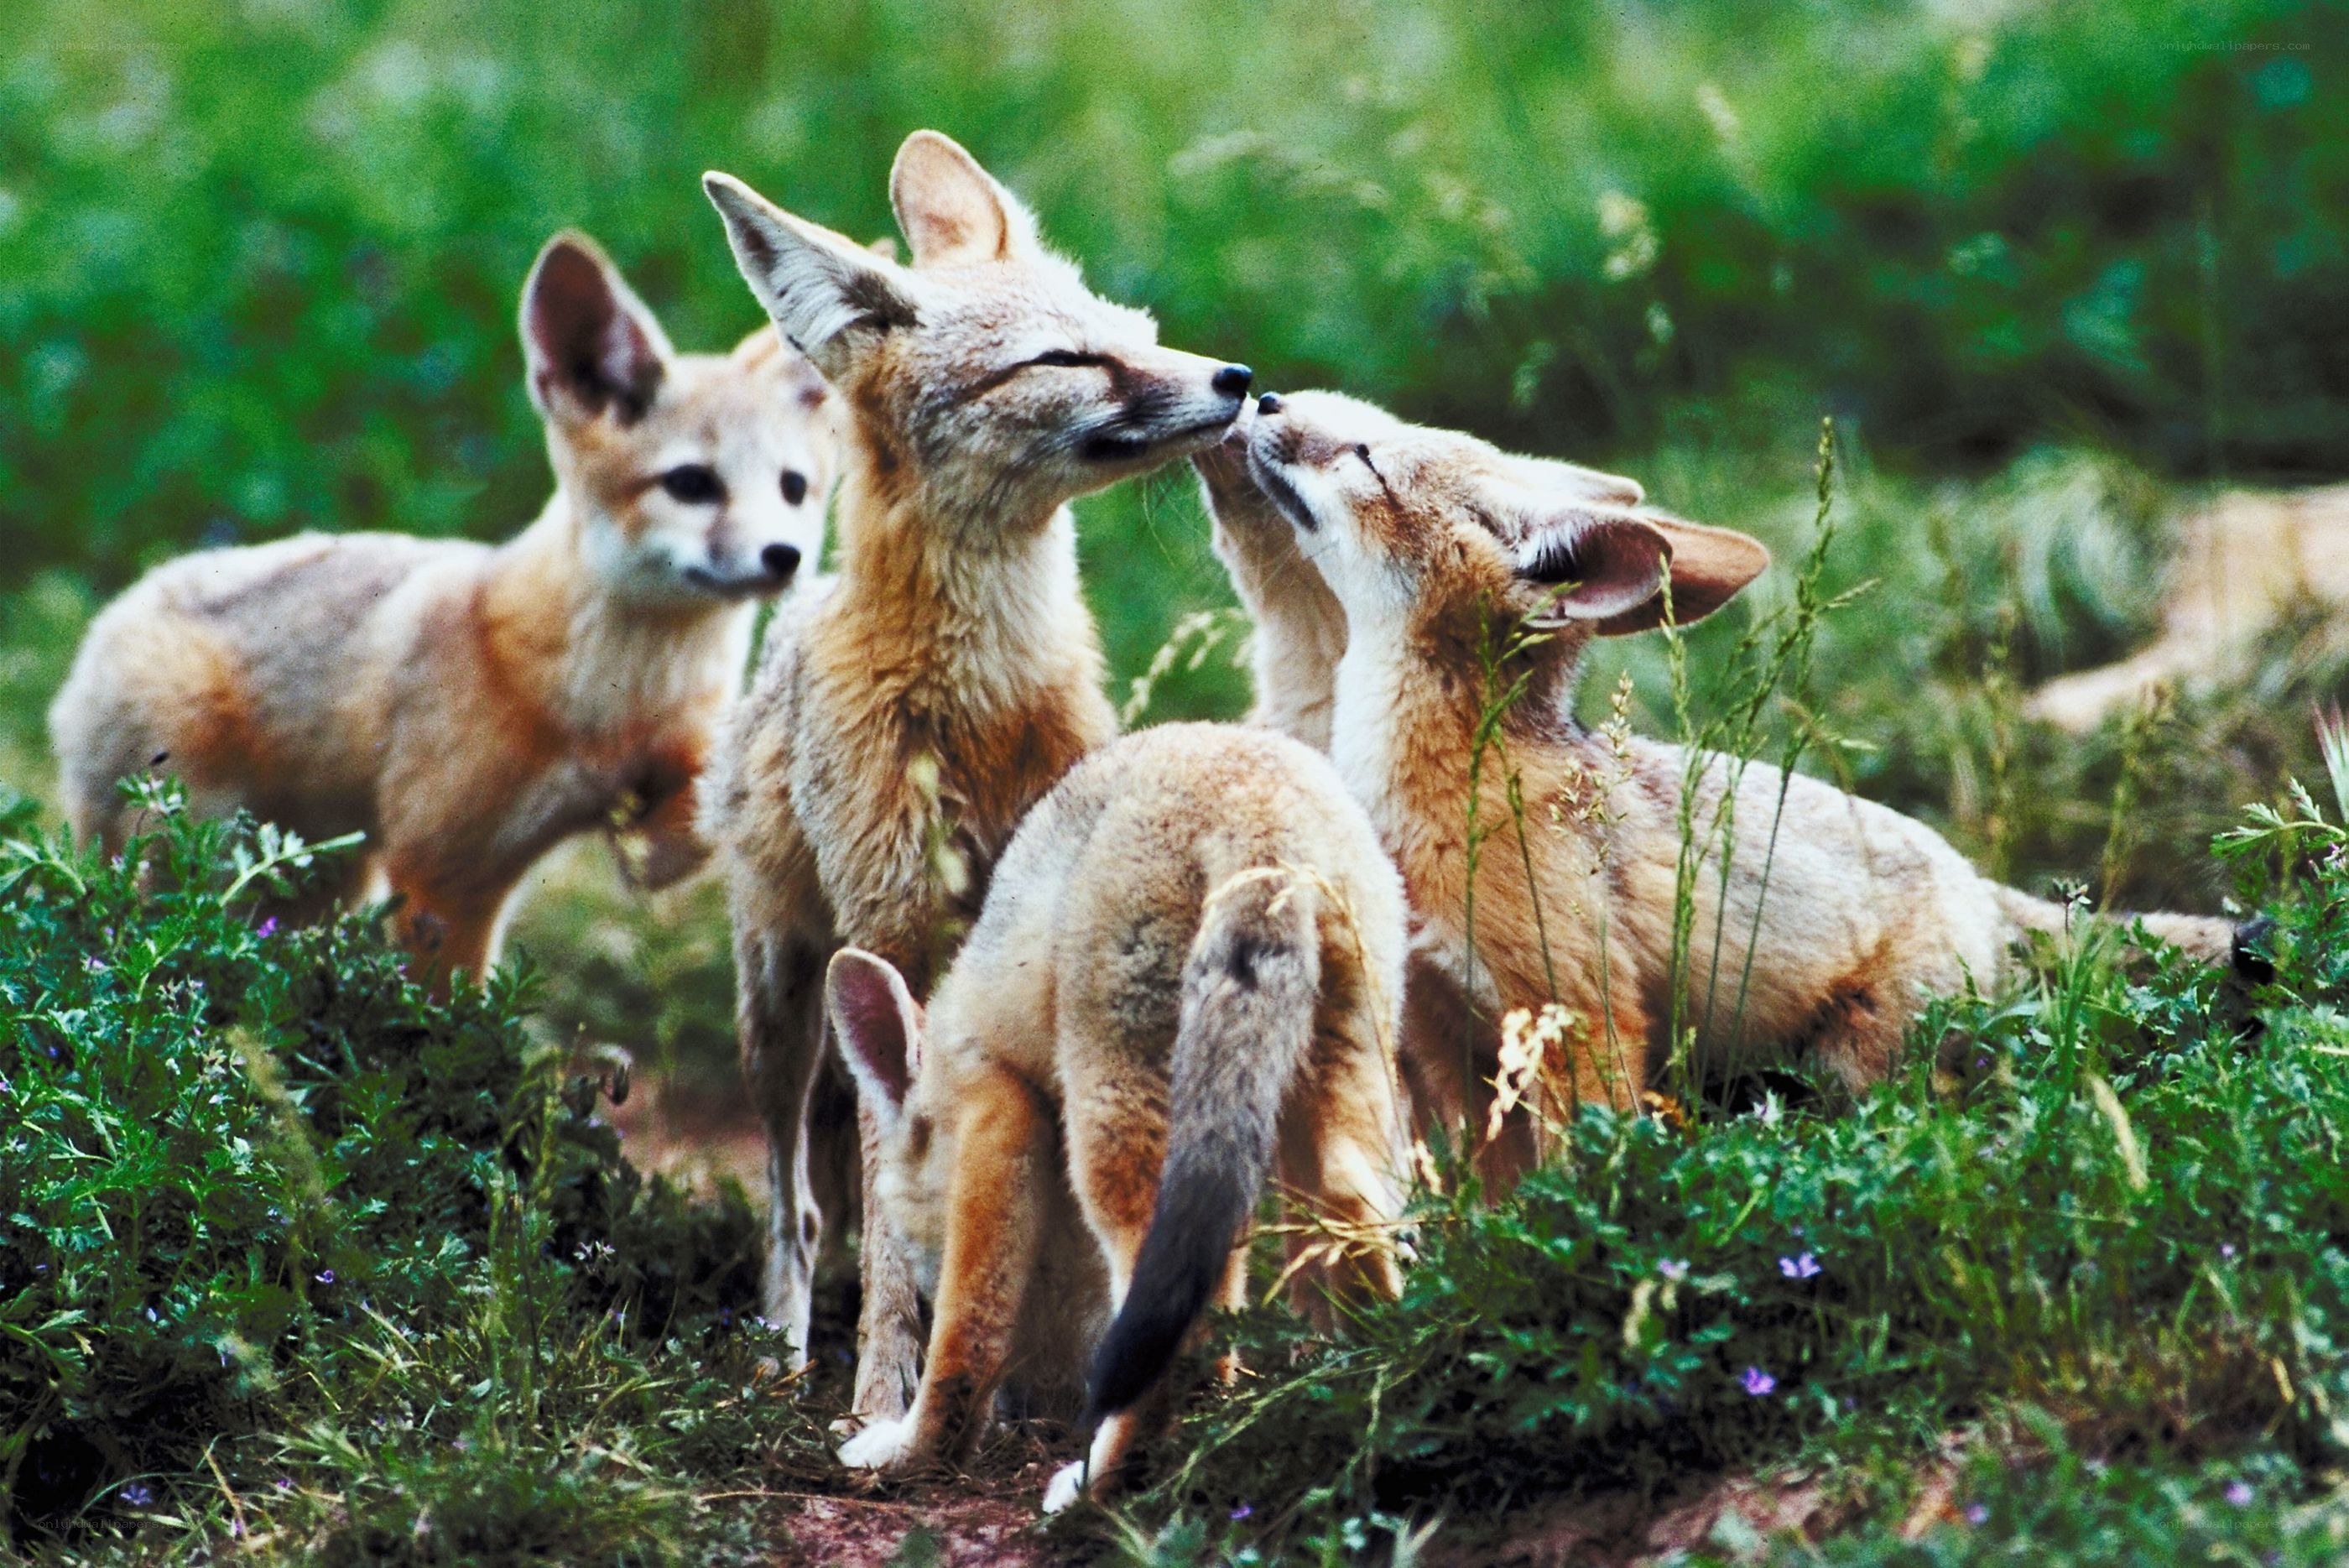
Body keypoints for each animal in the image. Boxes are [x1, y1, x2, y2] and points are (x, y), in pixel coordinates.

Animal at [49, 232, 838, 989]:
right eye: (691, 484)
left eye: (794, 488)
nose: (784, 557)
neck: (604, 704)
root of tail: (107, 618)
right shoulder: (444, 869)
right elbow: (450, 1008)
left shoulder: (677, 760)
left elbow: (692, 823)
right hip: (191, 856)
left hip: (312, 881)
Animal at [696, 130, 1255, 1419]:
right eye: (1065, 360)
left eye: (1139, 329)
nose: (1239, 378)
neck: (980, 695)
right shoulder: (889, 932)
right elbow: (884, 1220)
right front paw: (884, 1392)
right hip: (781, 1000)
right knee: (798, 1203)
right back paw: (787, 1345)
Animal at [822, 721, 1410, 1511]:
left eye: (922, 1272)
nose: (1031, 1415)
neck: (948, 1037)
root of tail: (1260, 812)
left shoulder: (997, 1107)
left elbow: (966, 1333)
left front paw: (916, 1453)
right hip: (1331, 1090)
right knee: (1351, 1218)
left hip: (1114, 1115)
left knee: (1188, 1322)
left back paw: (1100, 1484)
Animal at [1218, 389, 2265, 1144]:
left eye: (1367, 454)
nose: (1260, 394)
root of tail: (1976, 878)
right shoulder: (1440, 1029)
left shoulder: (1577, 1015)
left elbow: (1574, 1174)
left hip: (1851, 1072)